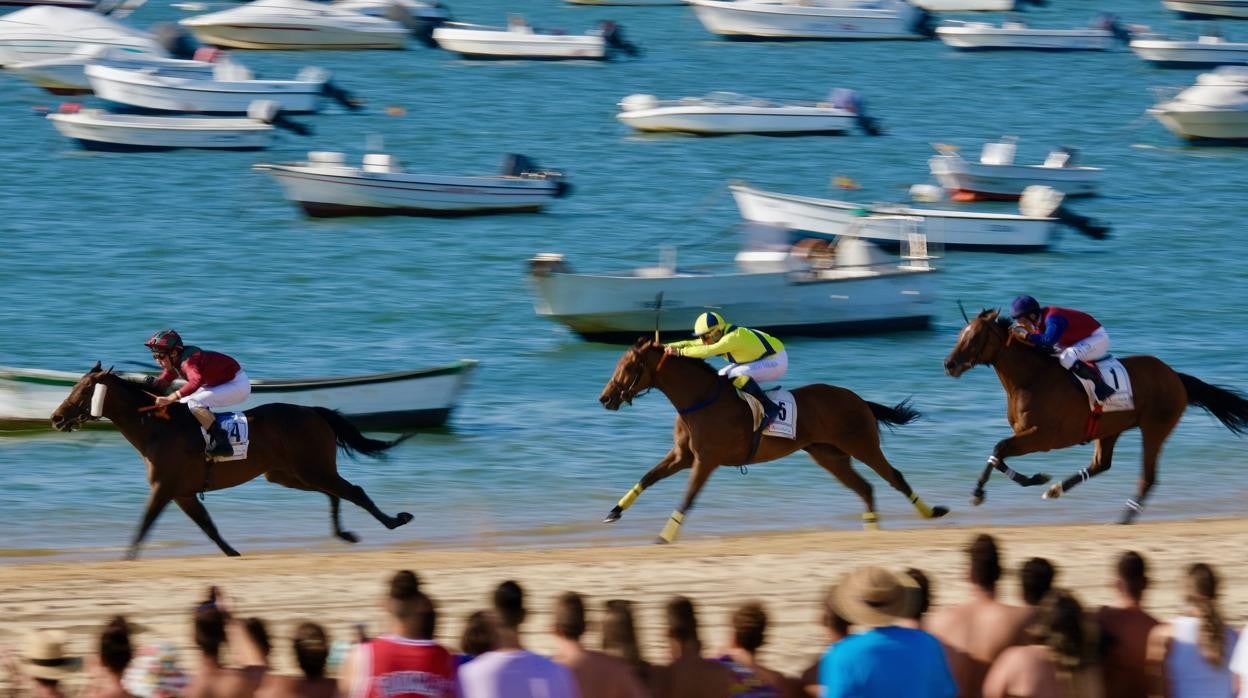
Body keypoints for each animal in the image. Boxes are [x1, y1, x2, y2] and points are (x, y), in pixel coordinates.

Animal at [52, 362, 414, 559]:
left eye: (82, 390)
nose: (56, 418)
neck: (156, 426)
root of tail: (313, 411)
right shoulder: (182, 493)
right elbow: (208, 526)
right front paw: (232, 553)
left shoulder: (164, 488)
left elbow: (144, 524)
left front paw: (127, 557)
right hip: (289, 474)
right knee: (336, 494)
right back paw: (345, 533)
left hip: (312, 469)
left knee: (354, 491)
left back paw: (395, 520)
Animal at [599, 337, 948, 544]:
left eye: (628, 367)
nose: (605, 398)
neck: (699, 401)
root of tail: (858, 398)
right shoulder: (682, 456)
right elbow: (647, 477)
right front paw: (614, 512)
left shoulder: (706, 461)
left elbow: (688, 497)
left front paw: (665, 534)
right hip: (829, 456)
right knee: (865, 488)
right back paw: (873, 529)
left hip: (862, 444)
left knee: (894, 477)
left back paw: (931, 512)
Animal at [943, 308, 1248, 521]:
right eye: (959, 335)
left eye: (975, 337)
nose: (949, 364)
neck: (1031, 379)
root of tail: (1175, 376)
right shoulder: (1025, 434)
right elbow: (998, 454)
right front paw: (1036, 480)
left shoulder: (1044, 437)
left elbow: (999, 448)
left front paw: (978, 493)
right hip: (1110, 428)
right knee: (1102, 464)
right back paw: (1056, 489)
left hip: (1154, 428)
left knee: (1147, 477)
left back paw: (1125, 517)